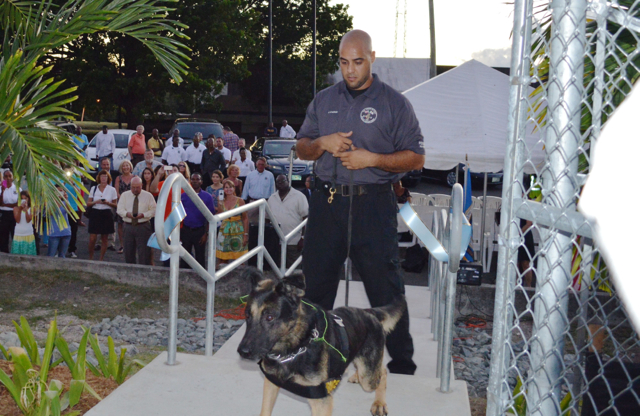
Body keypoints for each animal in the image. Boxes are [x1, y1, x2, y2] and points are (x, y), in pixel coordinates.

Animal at [235, 268, 404, 416]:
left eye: (269, 317)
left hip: (368, 378)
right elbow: (265, 411)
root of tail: (369, 313)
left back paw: (379, 403)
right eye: (247, 315)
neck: (295, 347)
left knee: (382, 372)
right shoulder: (271, 383)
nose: (242, 352)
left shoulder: (322, 401)